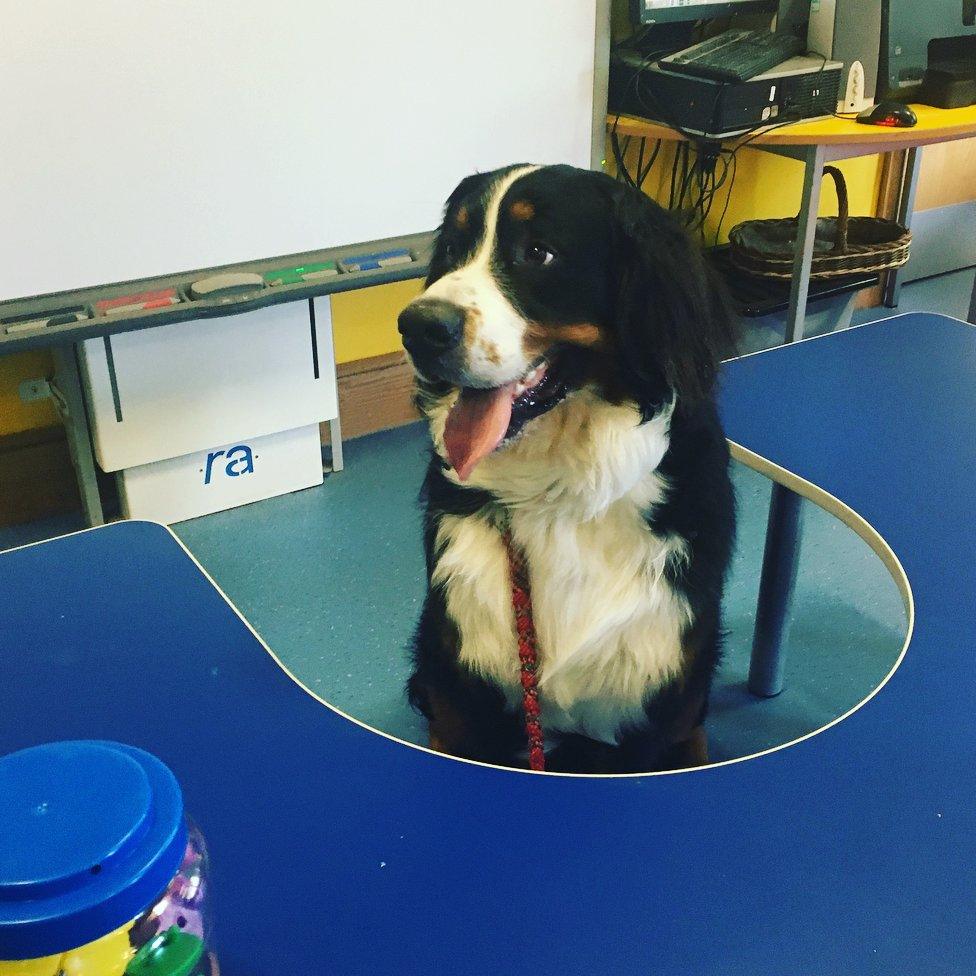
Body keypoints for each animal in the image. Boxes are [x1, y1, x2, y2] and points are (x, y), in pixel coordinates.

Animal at [396, 168, 732, 772]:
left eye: (538, 253)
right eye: (455, 248)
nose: (417, 327)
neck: (559, 494)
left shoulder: (655, 705)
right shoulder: (462, 693)